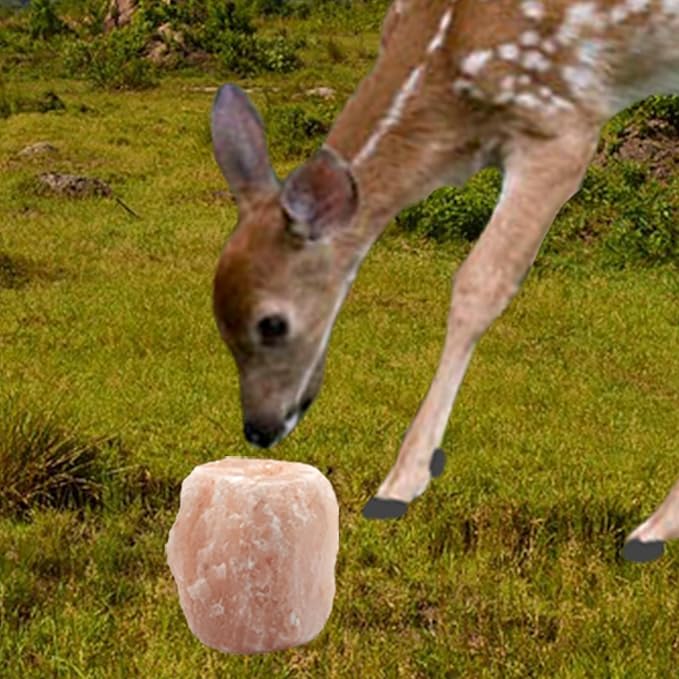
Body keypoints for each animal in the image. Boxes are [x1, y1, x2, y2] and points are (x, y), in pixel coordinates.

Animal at [209, 0, 679, 562]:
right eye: (218, 318)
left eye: (273, 323)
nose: (257, 429)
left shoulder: (562, 124)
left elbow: (478, 284)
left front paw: (399, 484)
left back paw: (651, 530)